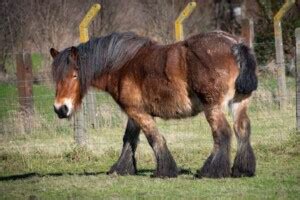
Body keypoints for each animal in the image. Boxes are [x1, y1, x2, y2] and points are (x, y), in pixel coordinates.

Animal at [50, 31, 256, 178]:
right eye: (56, 77)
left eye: (74, 75)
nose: (60, 108)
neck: (122, 65)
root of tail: (235, 44)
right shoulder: (134, 113)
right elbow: (129, 139)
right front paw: (121, 168)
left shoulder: (138, 112)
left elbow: (154, 138)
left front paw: (165, 171)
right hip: (239, 103)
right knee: (242, 129)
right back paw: (242, 169)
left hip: (212, 107)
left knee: (222, 133)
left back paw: (210, 171)